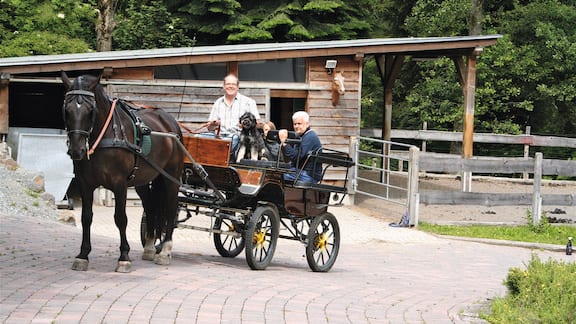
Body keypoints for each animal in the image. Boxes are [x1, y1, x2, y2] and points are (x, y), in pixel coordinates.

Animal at [61, 72, 183, 272]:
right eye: (66, 110)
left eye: (90, 110)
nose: (77, 151)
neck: (106, 135)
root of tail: (170, 122)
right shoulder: (85, 183)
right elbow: (86, 217)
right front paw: (82, 256)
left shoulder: (120, 184)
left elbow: (120, 218)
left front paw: (124, 257)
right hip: (143, 181)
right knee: (150, 208)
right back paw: (150, 248)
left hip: (171, 177)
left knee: (171, 210)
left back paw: (165, 251)